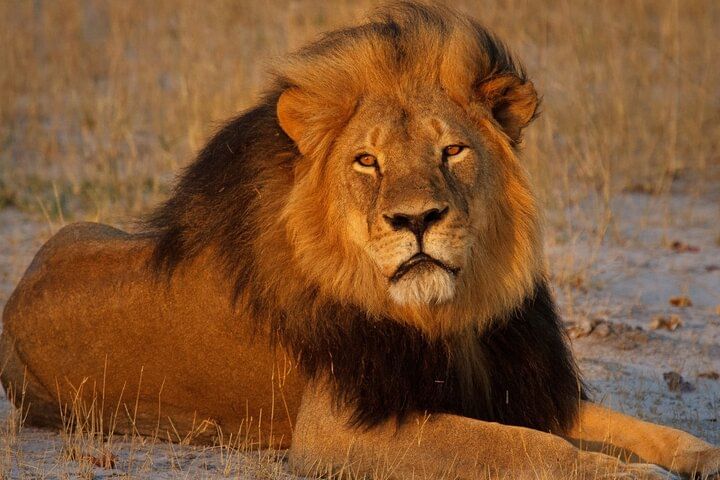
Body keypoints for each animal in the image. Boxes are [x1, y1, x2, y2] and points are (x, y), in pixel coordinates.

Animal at [1, 2, 719, 479]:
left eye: (452, 150)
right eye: (367, 161)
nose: (417, 220)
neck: (449, 317)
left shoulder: (519, 386)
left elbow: (633, 427)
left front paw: (698, 455)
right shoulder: (337, 431)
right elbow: (527, 449)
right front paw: (635, 474)